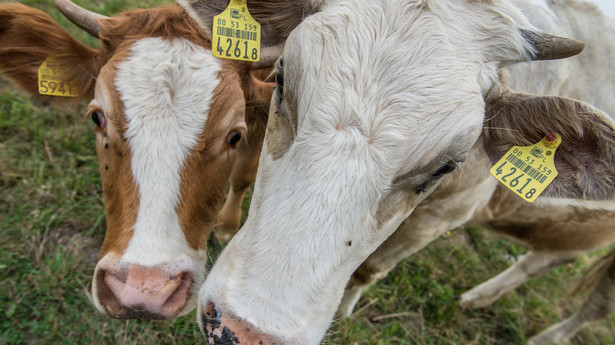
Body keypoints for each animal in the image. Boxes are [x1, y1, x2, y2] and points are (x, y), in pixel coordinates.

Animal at [180, 0, 615, 344]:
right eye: (283, 79)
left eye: (447, 165)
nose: (246, 331)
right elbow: (242, 174)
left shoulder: (446, 215)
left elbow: (371, 268)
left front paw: (346, 310)